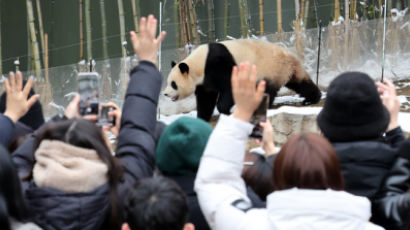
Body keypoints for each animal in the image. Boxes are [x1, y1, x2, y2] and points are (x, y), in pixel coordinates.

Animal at [162, 38, 322, 121]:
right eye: (169, 82)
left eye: (173, 84)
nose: (165, 94)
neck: (199, 64)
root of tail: (291, 56)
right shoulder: (205, 80)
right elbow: (205, 97)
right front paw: (202, 117)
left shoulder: (218, 64)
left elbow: (230, 86)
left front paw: (225, 110)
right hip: (284, 70)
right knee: (300, 82)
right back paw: (311, 98)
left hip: (271, 68)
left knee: (267, 89)